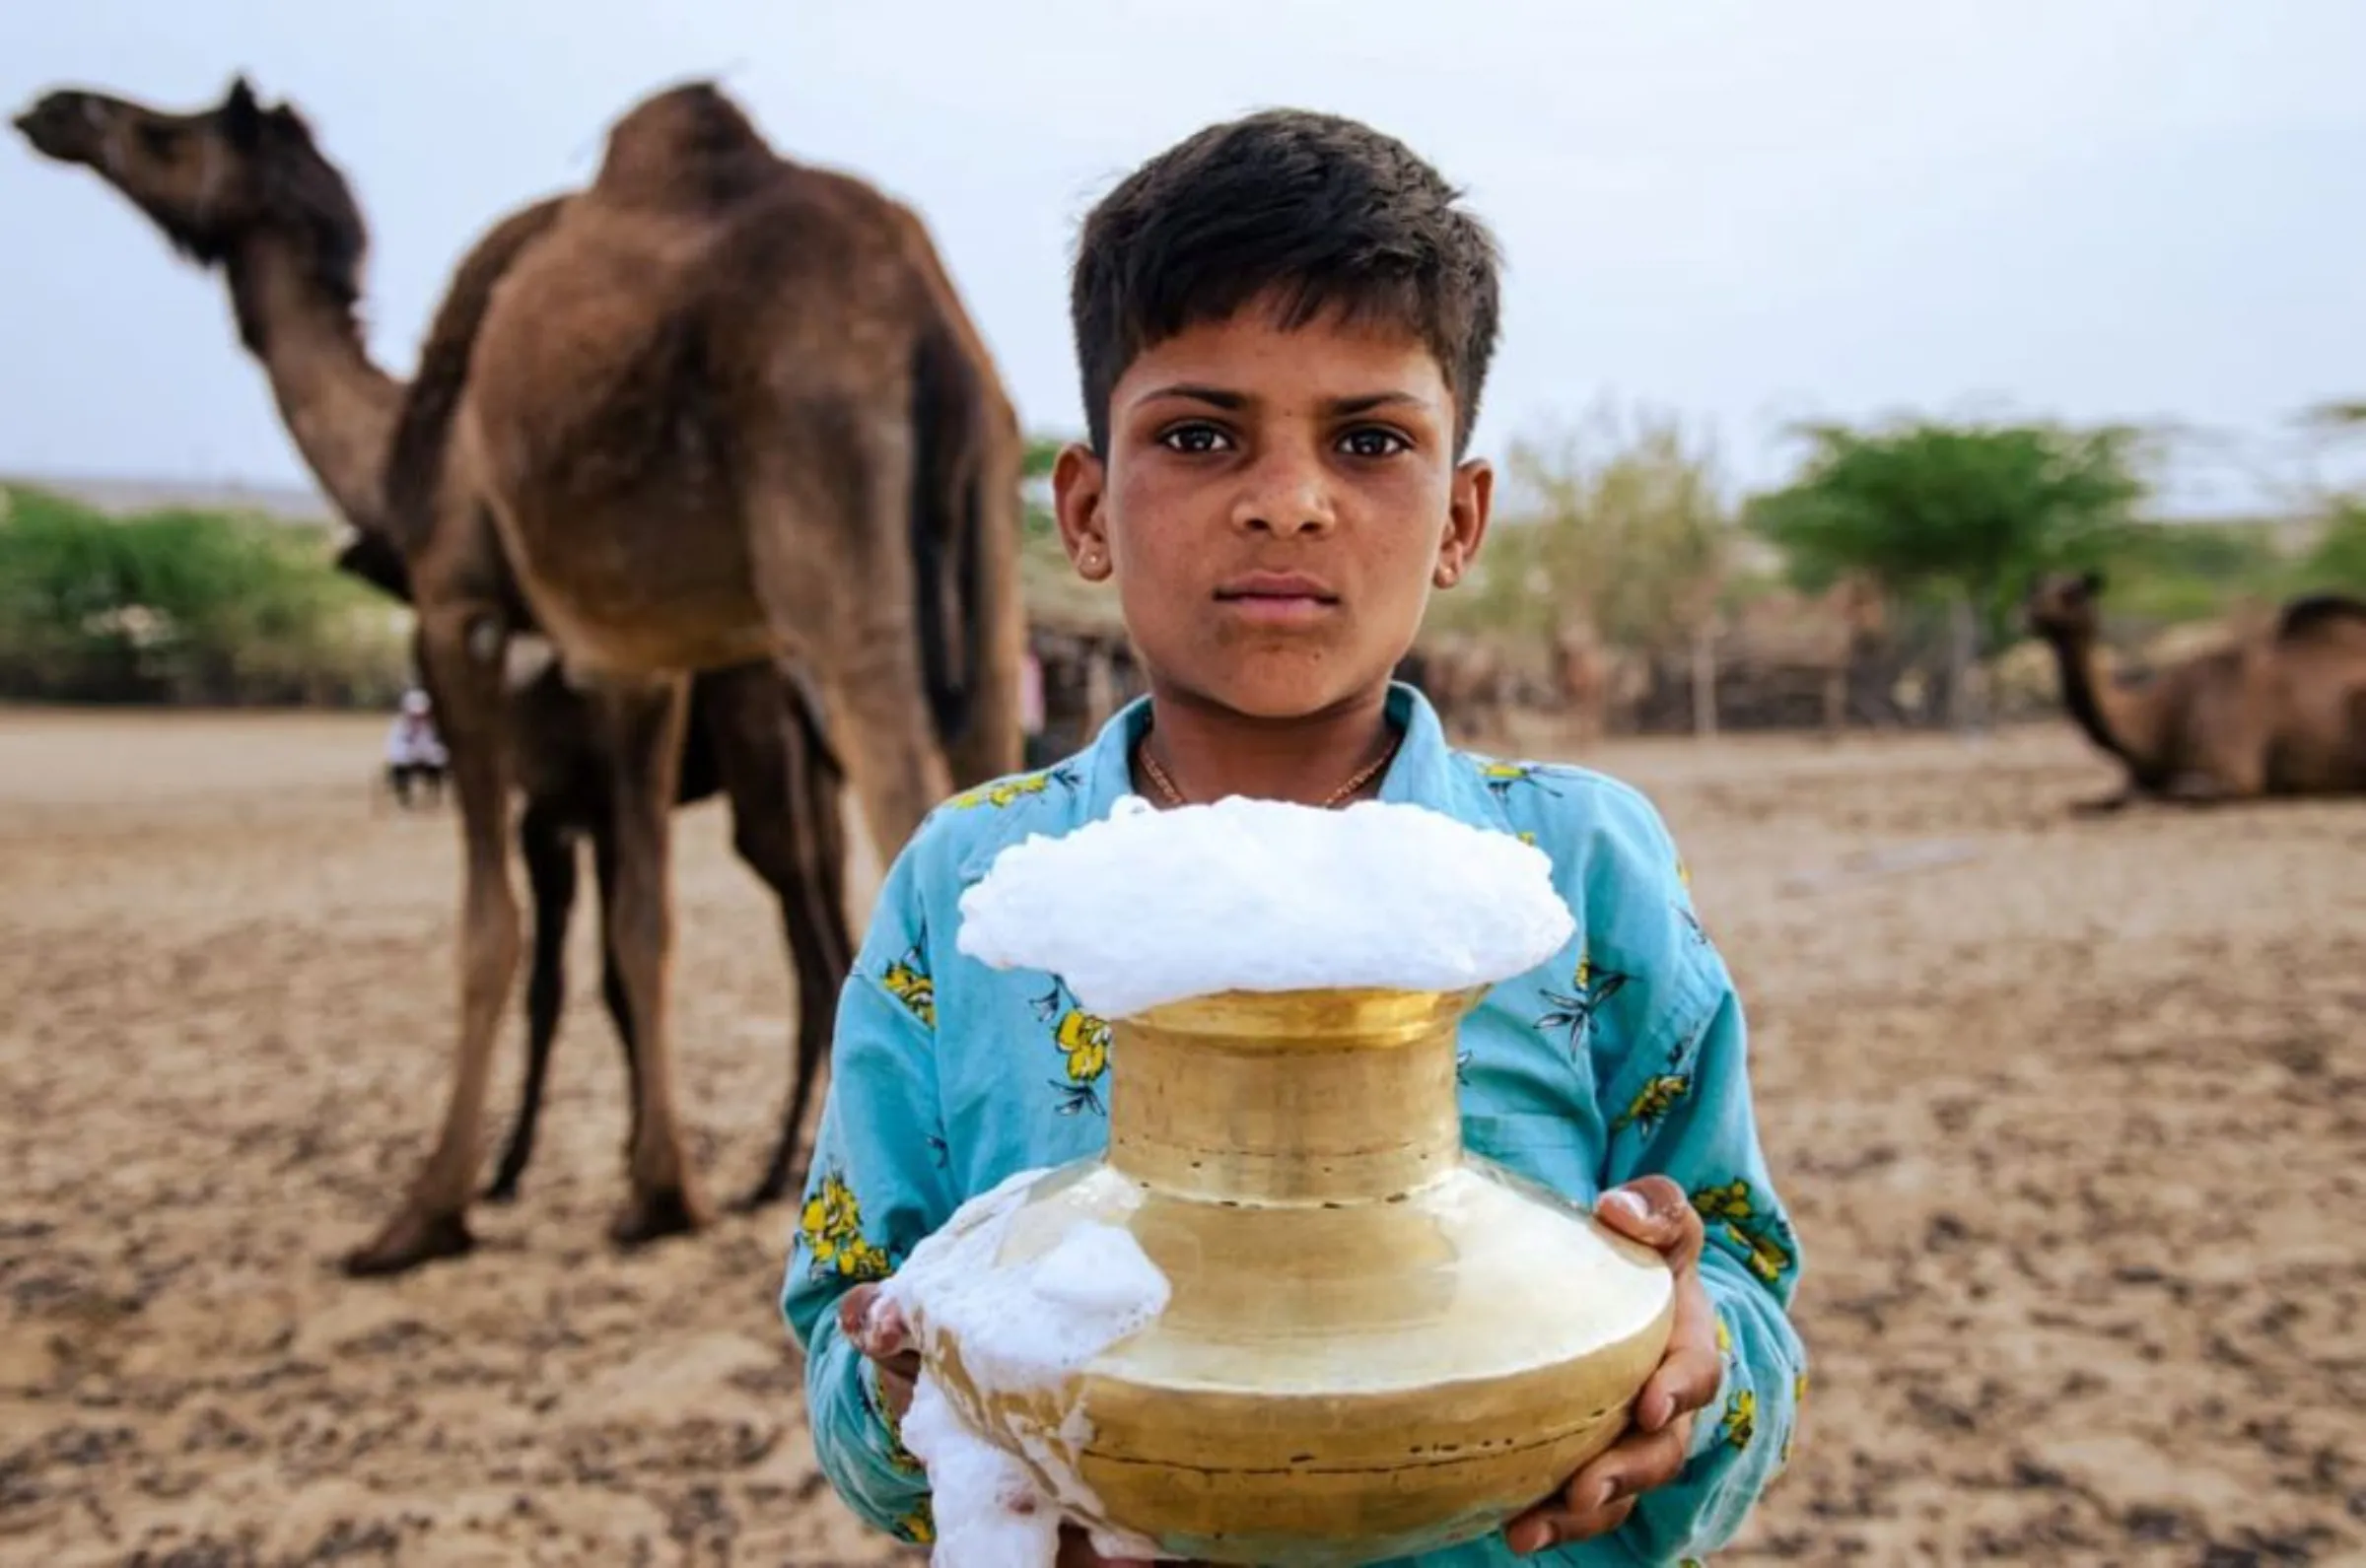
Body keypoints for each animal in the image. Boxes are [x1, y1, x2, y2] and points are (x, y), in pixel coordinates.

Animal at [18, 70, 1021, 1276]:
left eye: (170, 133)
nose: (53, 111)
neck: (403, 437)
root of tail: (925, 318)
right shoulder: (633, 659)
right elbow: (641, 929)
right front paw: (656, 1193)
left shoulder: (461, 610)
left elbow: (488, 935)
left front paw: (425, 1211)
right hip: (984, 539)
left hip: (826, 505)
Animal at [2015, 570, 2366, 813]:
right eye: (2035, 589)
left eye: (2073, 593)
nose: (2032, 612)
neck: (2155, 717)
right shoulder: (2138, 776)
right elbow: (2100, 800)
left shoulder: (2235, 775)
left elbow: (2162, 794)